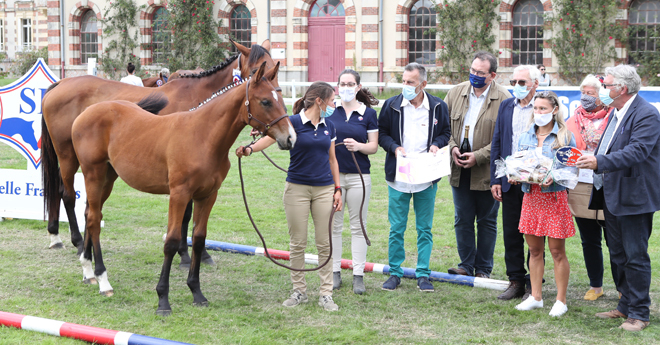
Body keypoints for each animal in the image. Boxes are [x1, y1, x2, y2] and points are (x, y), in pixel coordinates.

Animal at [40, 39, 278, 264]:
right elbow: (186, 216)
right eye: (256, 70)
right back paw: (77, 242)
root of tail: (60, 83)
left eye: (274, 66)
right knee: (67, 194)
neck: (199, 99)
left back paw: (56, 235)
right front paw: (185, 255)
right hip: (68, 156)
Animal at [70, 61, 294, 314]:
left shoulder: (207, 196)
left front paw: (197, 292)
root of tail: (85, 113)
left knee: (90, 213)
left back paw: (88, 270)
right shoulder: (179, 195)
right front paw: (163, 299)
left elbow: (198, 239)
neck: (202, 136)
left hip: (109, 177)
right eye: (265, 101)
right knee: (94, 220)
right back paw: (102, 280)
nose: (290, 138)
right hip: (93, 174)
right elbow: (172, 241)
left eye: (280, 98)